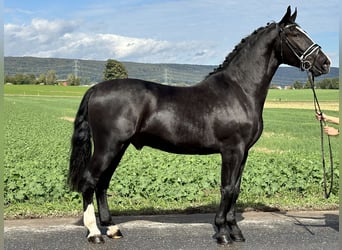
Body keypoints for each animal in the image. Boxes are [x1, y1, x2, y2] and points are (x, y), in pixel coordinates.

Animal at [68, 6, 330, 245]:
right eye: (294, 34)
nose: (325, 63)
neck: (239, 90)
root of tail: (95, 89)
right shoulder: (232, 150)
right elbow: (227, 188)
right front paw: (222, 233)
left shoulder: (243, 152)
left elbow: (236, 189)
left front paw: (235, 232)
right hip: (108, 146)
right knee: (90, 181)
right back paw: (94, 233)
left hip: (119, 147)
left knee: (102, 183)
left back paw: (112, 229)